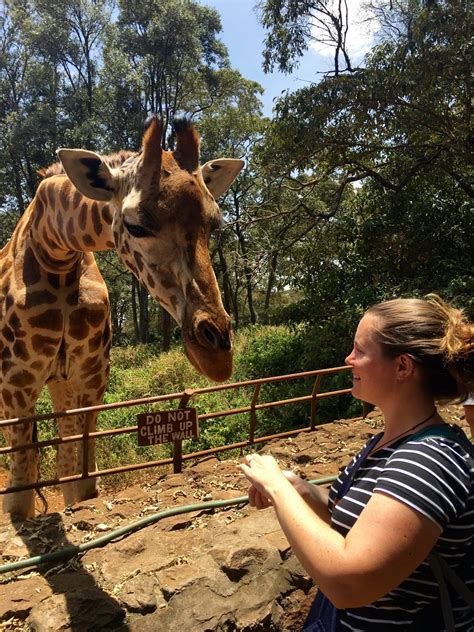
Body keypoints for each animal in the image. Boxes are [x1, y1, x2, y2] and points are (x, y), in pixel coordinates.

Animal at [0, 118, 244, 520]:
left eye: (214, 224)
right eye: (135, 226)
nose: (217, 356)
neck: (57, 256)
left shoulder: (91, 378)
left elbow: (80, 480)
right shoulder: (15, 385)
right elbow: (18, 500)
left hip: (59, 383)